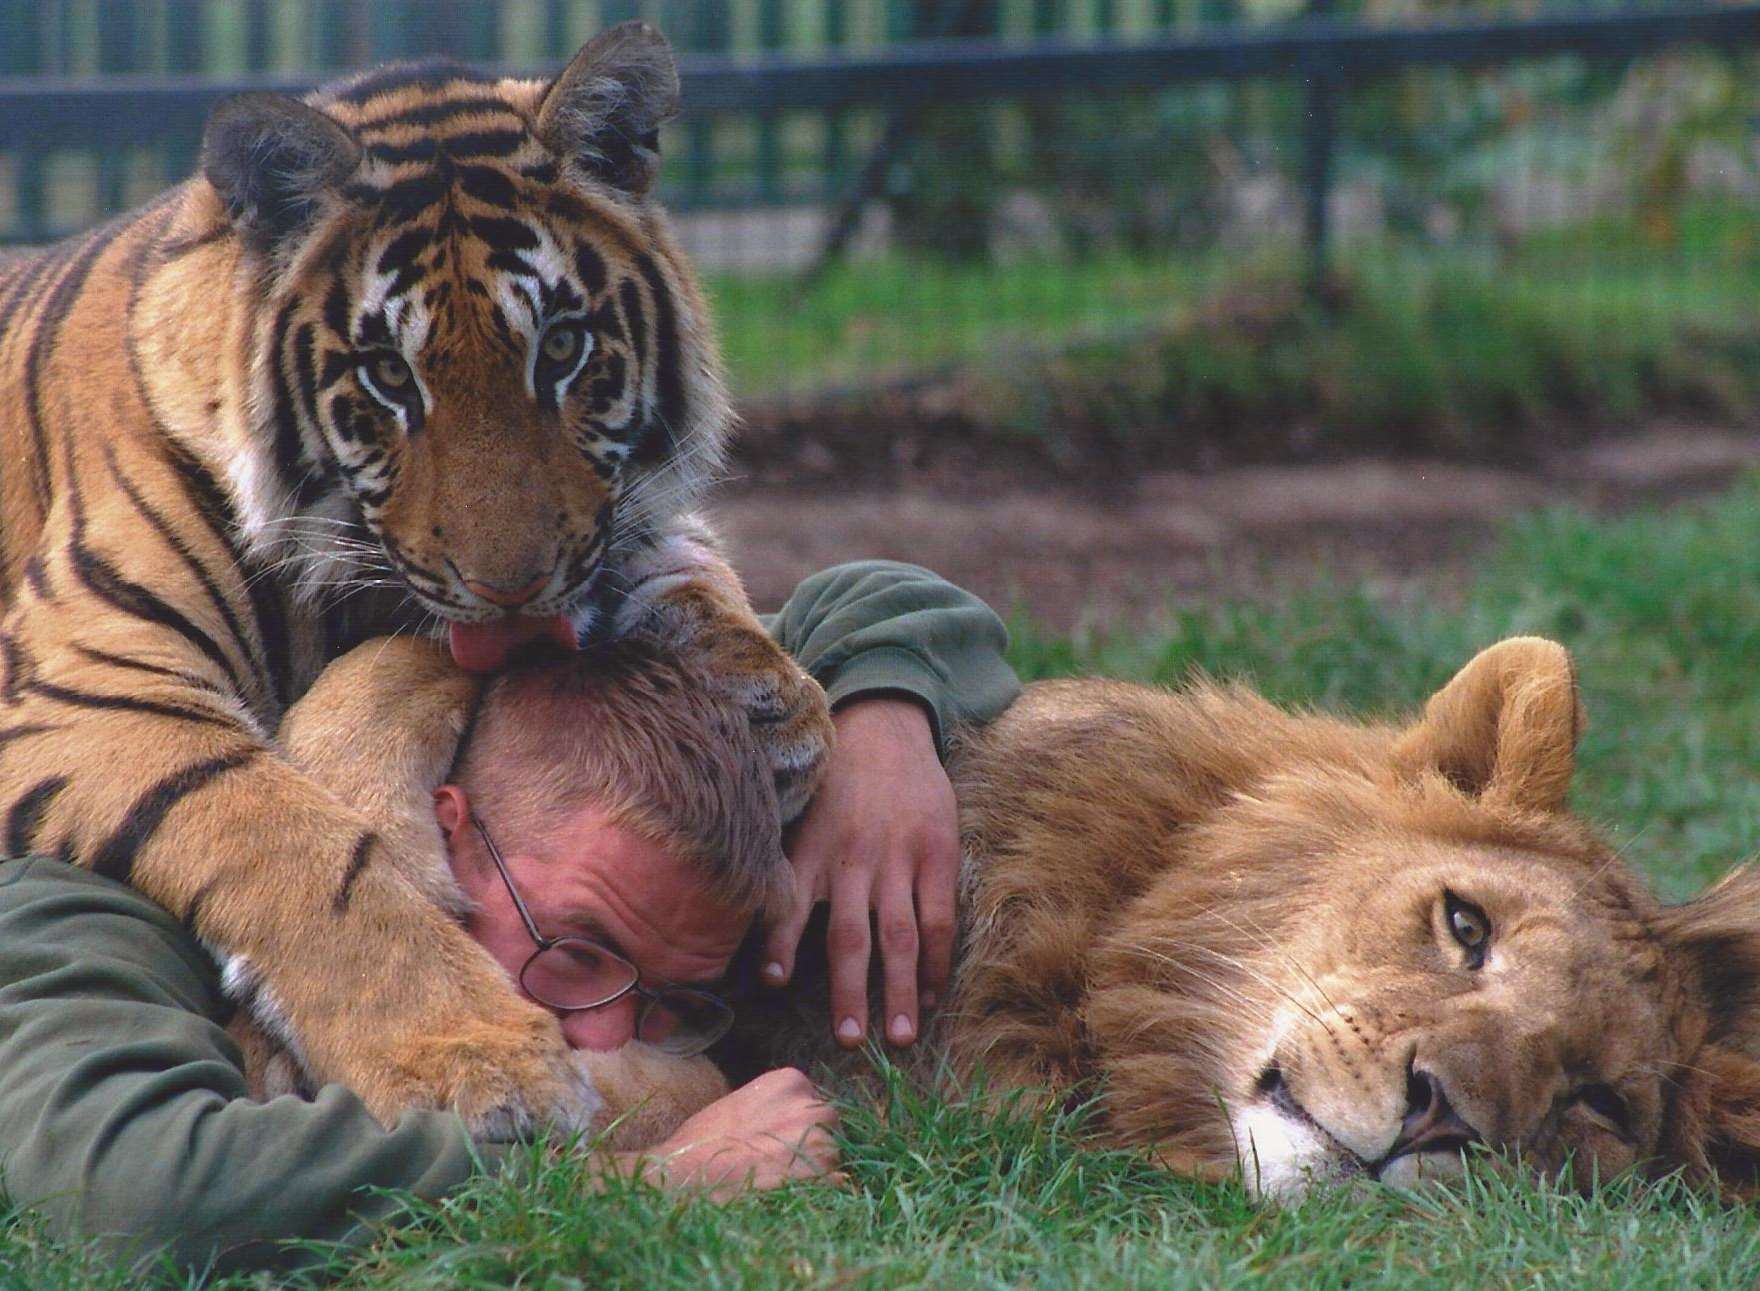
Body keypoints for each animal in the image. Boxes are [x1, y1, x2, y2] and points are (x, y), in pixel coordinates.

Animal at [0, 17, 830, 1132]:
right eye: (389, 375)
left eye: (562, 349)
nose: (512, 588)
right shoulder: (86, 685)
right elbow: (295, 849)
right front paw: (473, 1061)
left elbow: (675, 561)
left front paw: (770, 702)